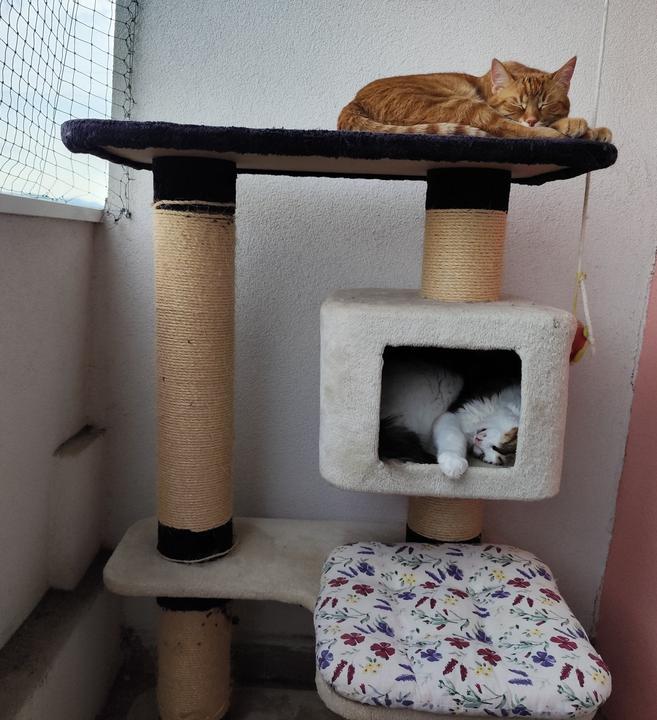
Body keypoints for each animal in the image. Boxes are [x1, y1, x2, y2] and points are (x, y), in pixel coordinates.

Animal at [338, 57, 611, 141]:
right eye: (517, 104)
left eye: (546, 104)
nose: (533, 119)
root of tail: (354, 101)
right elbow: (516, 125)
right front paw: (575, 126)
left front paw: (594, 130)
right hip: (462, 105)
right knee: (507, 130)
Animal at [378, 348, 520, 479]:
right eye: (497, 449)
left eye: (483, 455)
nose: (478, 441)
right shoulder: (452, 414)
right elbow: (454, 438)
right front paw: (453, 463)